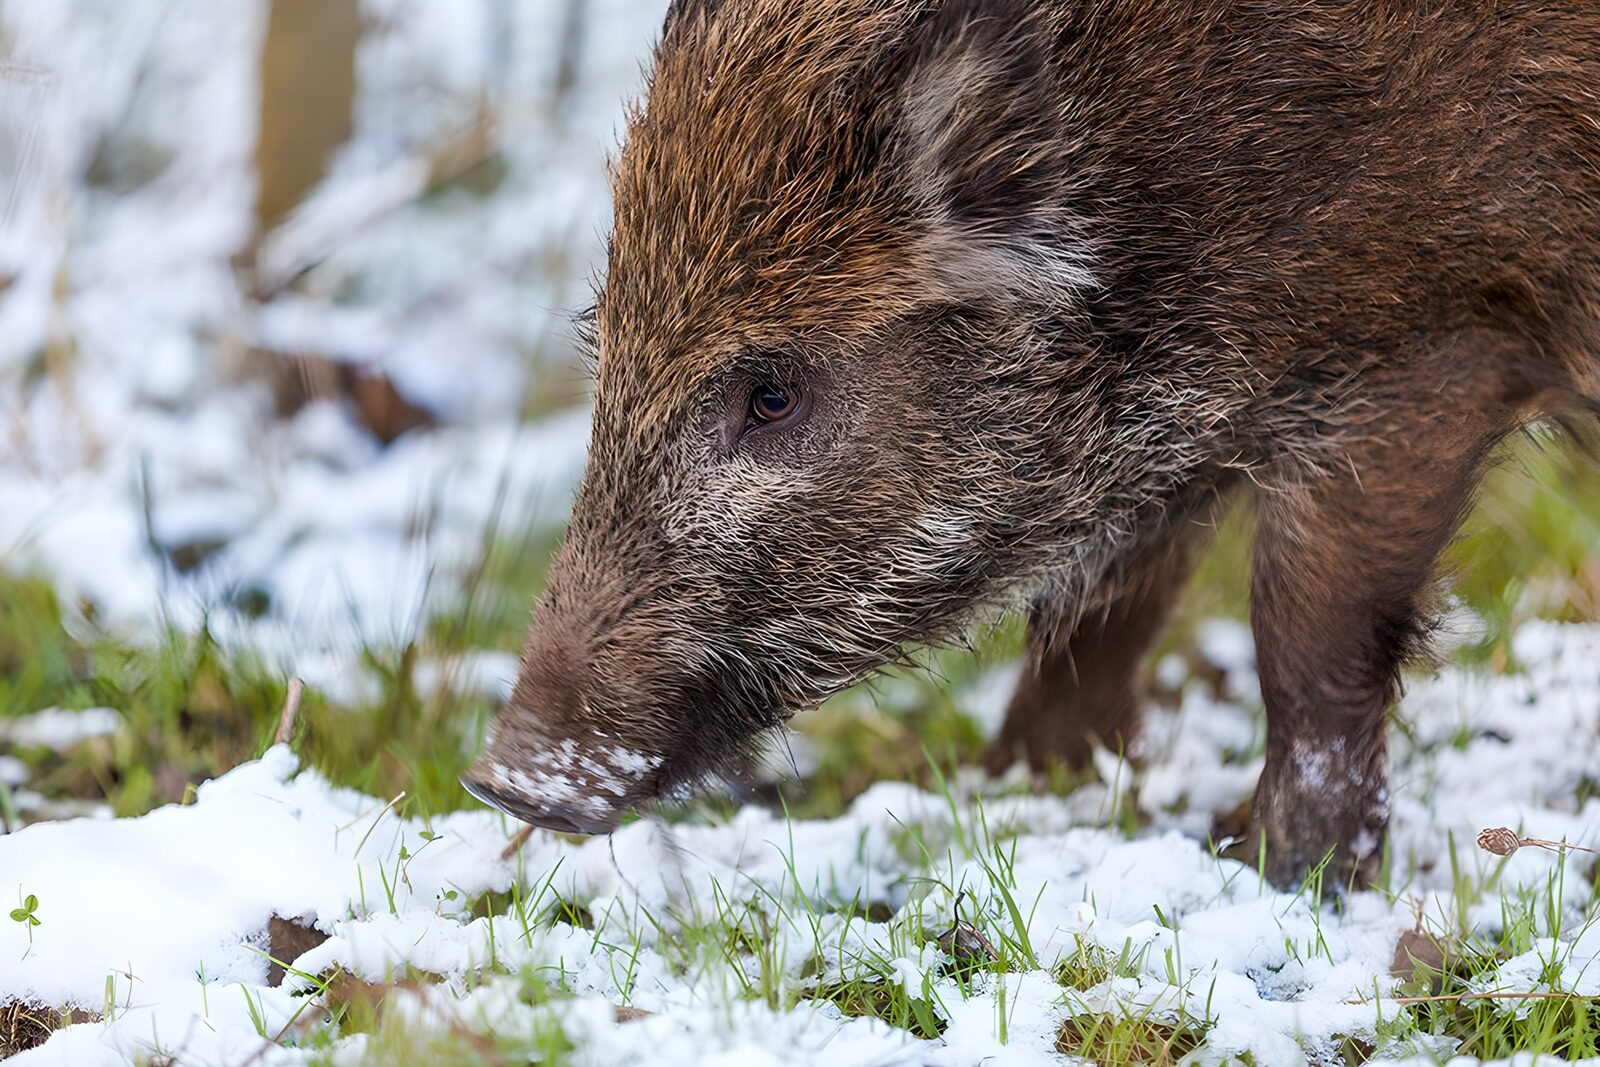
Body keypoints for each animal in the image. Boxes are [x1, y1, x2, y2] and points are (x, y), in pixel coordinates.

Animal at [464, 0, 1600, 888]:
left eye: (772, 395)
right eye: (602, 343)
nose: (503, 776)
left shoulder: (1426, 347)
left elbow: (1308, 639)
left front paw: (1279, 871)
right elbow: (1103, 611)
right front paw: (1014, 788)